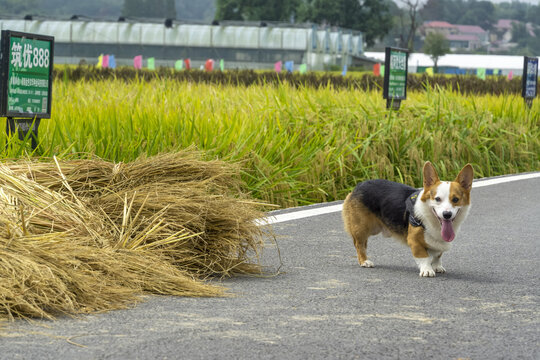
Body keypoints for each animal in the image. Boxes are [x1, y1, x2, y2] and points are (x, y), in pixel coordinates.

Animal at [342, 162, 472, 278]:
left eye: (455, 199)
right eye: (437, 199)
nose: (447, 215)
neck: (432, 221)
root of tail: (358, 186)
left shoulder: (440, 241)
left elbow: (437, 255)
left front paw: (437, 266)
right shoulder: (414, 241)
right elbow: (424, 256)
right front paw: (427, 270)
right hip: (362, 227)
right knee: (359, 244)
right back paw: (364, 261)